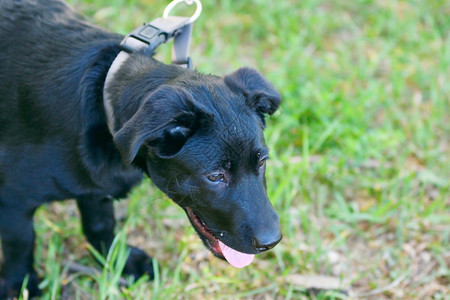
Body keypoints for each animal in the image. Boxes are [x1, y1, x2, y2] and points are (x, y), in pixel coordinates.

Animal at [0, 0, 282, 296]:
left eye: (262, 162)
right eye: (215, 176)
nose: (272, 242)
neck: (102, 98)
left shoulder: (95, 185)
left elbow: (100, 222)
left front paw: (117, 260)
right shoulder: (13, 198)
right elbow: (20, 242)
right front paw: (20, 285)